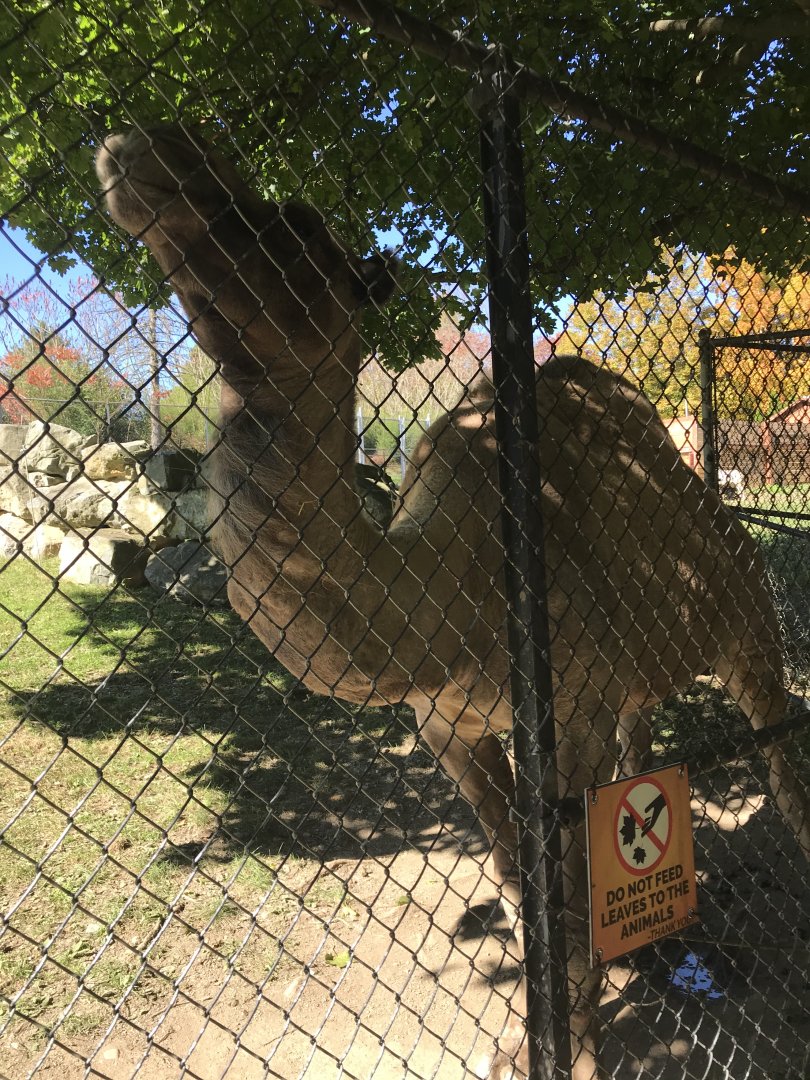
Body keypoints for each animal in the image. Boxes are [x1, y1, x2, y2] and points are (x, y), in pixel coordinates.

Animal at [96, 125, 809, 1080]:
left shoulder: (570, 706)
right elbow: (514, 875)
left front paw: (577, 1051)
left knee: (775, 740)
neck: (458, 596)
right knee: (646, 744)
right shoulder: (443, 724)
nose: (153, 150)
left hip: (744, 611)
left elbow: (566, 889)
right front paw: (529, 1038)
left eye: (299, 224)